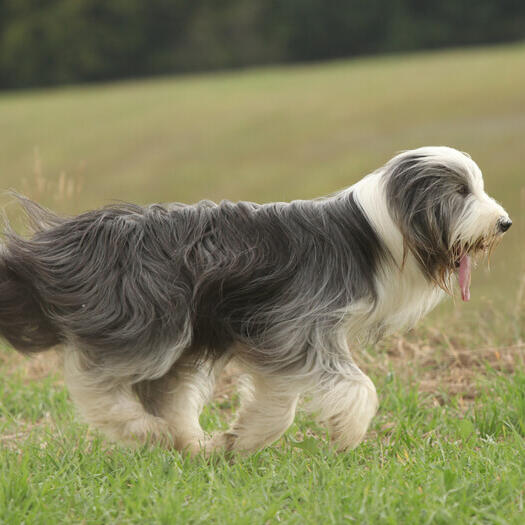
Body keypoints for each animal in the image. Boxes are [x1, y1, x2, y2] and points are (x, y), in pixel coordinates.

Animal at [0, 145, 508, 452]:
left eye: (477, 187)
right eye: (461, 192)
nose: (504, 223)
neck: (369, 231)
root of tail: (76, 238)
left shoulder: (278, 334)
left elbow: (277, 400)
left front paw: (241, 440)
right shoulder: (298, 323)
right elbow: (358, 387)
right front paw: (347, 432)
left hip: (182, 335)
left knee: (165, 394)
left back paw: (192, 443)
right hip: (151, 322)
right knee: (98, 383)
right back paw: (140, 429)